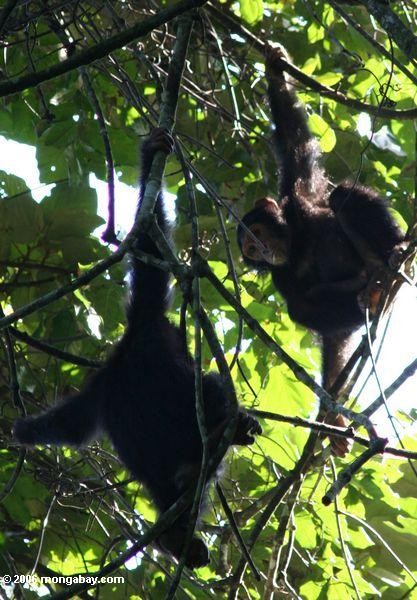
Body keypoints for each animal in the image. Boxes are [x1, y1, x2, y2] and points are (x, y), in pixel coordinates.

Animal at [14, 129, 262, 568]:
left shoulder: (97, 392)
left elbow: (67, 427)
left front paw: (13, 429)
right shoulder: (150, 319)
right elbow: (152, 247)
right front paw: (153, 152)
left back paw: (175, 536)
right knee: (212, 390)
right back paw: (226, 434)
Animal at [237, 45, 404, 454]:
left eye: (258, 234)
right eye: (251, 249)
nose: (263, 250)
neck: (297, 242)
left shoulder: (299, 194)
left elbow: (294, 140)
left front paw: (274, 69)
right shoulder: (282, 278)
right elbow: (326, 331)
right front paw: (332, 414)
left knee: (343, 195)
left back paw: (394, 255)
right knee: (313, 308)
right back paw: (374, 295)